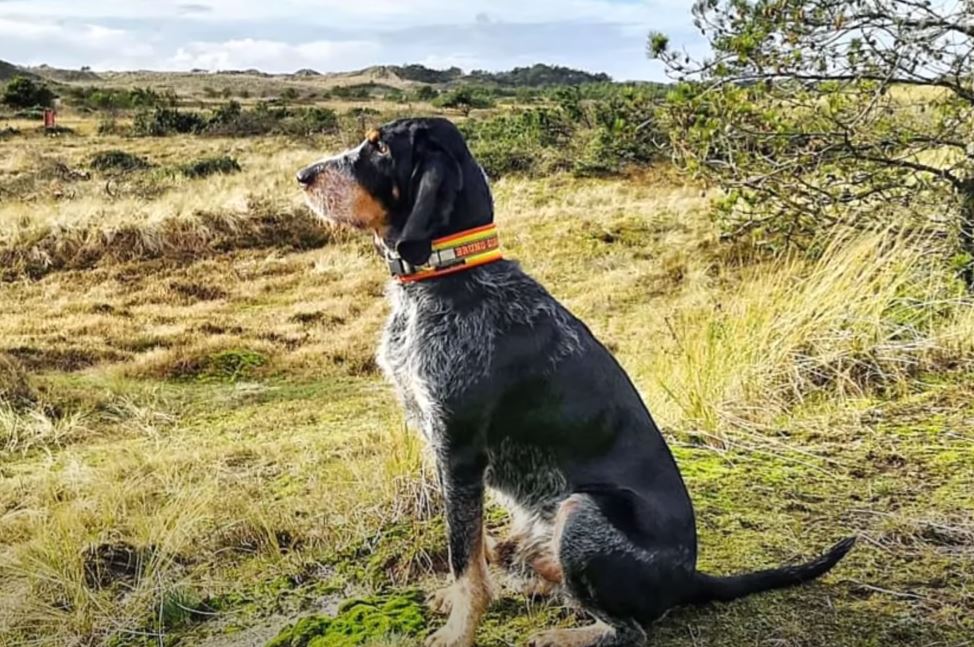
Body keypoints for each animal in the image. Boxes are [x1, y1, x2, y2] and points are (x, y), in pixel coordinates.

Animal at [298, 117, 856, 647]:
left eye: (379, 147)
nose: (303, 176)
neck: (443, 275)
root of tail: (690, 577)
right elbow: (473, 550)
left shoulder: (458, 451)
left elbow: (464, 559)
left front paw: (458, 631)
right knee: (551, 579)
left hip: (581, 512)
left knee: (628, 628)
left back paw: (565, 634)